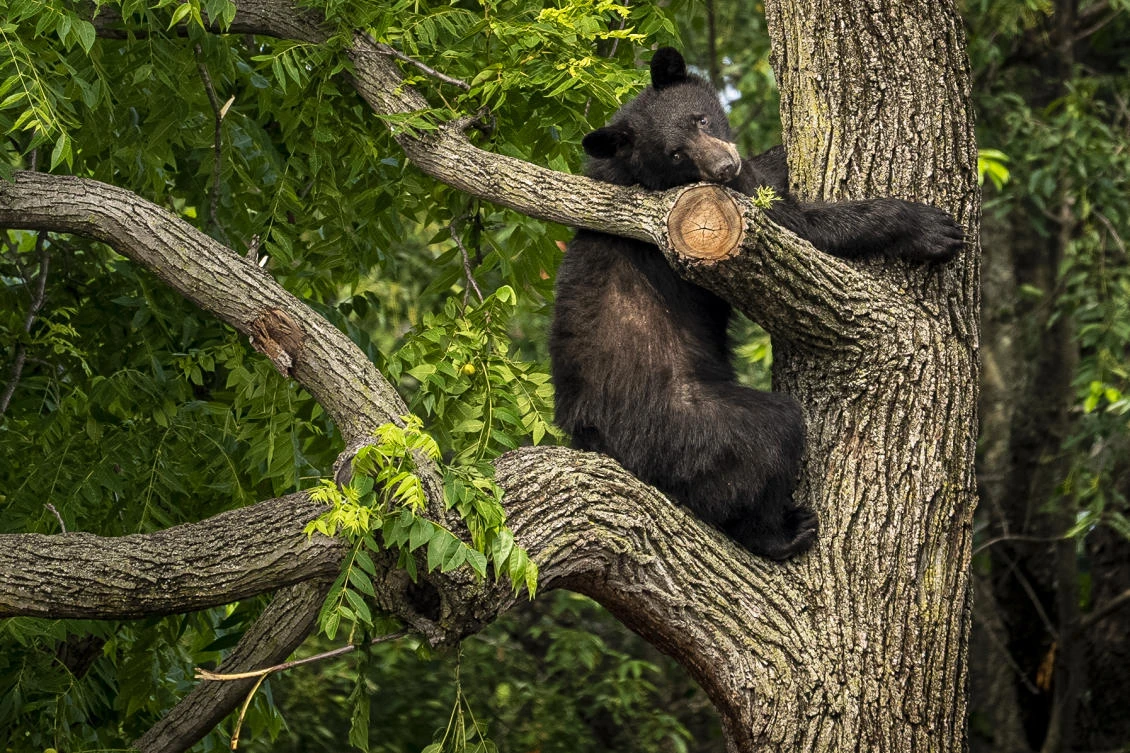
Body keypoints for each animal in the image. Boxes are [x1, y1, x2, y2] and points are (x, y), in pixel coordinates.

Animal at [549, 47, 963, 560]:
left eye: (702, 118)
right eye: (675, 153)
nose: (723, 166)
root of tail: (593, 438)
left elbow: (766, 176)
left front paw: (776, 153)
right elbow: (801, 228)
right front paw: (929, 228)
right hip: (689, 424)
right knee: (766, 440)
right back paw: (782, 531)